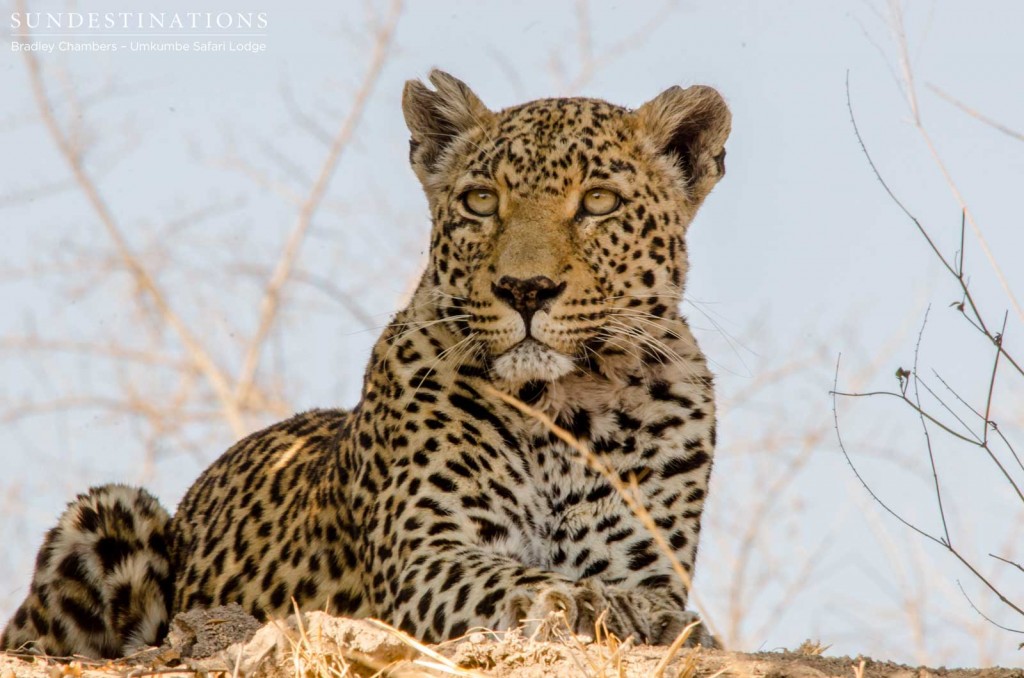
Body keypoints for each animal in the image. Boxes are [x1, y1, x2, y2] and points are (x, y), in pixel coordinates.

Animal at [4, 69, 733, 659]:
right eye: (481, 202)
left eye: (599, 202)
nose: (525, 289)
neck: (564, 404)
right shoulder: (427, 559)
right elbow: (517, 579)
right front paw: (592, 604)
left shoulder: (641, 560)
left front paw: (650, 615)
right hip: (108, 514)